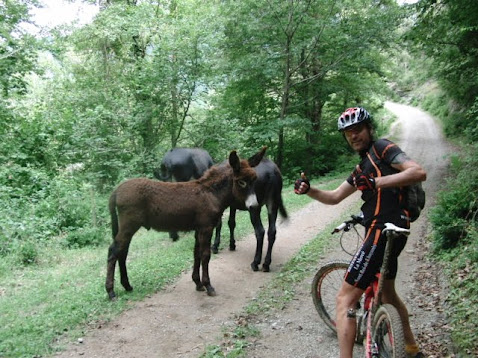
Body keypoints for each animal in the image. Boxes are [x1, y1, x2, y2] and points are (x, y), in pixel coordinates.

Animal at [106, 148, 268, 300]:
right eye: (241, 182)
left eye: (254, 180)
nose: (254, 206)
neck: (211, 193)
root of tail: (116, 191)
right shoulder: (206, 228)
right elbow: (205, 255)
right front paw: (208, 286)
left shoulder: (198, 229)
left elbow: (196, 253)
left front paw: (198, 283)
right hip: (129, 225)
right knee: (114, 251)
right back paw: (111, 292)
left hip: (127, 227)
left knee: (122, 252)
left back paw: (127, 286)